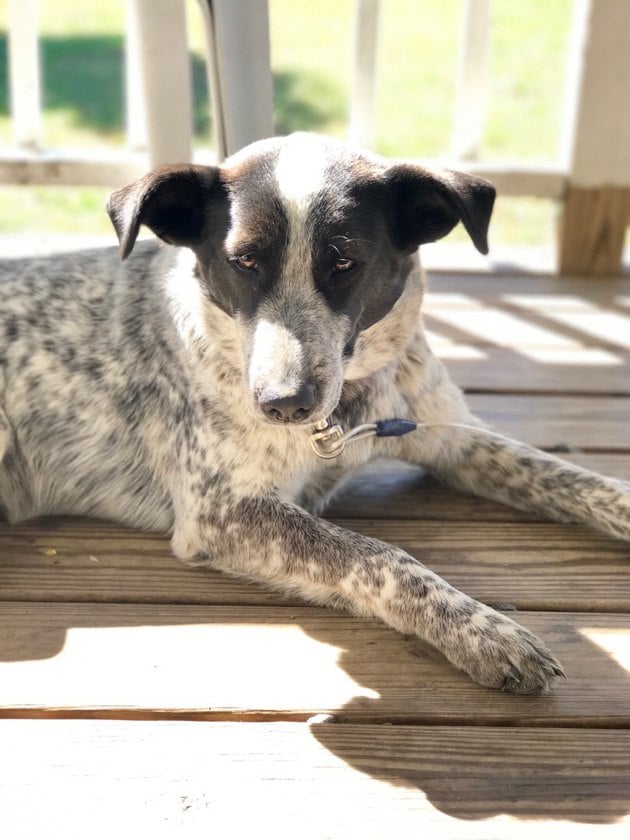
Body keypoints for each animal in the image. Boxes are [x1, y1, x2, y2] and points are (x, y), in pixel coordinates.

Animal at [1, 135, 630, 692]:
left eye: (346, 262)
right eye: (243, 261)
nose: (283, 402)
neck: (349, 409)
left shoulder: (453, 435)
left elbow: (576, 479)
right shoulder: (223, 511)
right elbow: (379, 556)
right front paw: (484, 631)